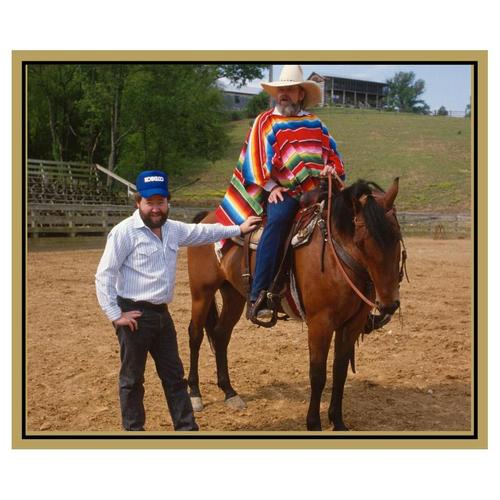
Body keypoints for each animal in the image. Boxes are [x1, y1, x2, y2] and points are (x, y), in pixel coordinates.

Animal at [188, 179, 402, 430]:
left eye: (397, 236)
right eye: (360, 241)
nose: (388, 305)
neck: (337, 257)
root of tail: (207, 217)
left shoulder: (352, 324)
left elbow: (339, 371)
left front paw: (338, 422)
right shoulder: (320, 324)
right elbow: (318, 374)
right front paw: (314, 423)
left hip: (234, 296)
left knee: (221, 335)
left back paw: (230, 393)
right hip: (201, 293)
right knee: (195, 336)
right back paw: (195, 394)